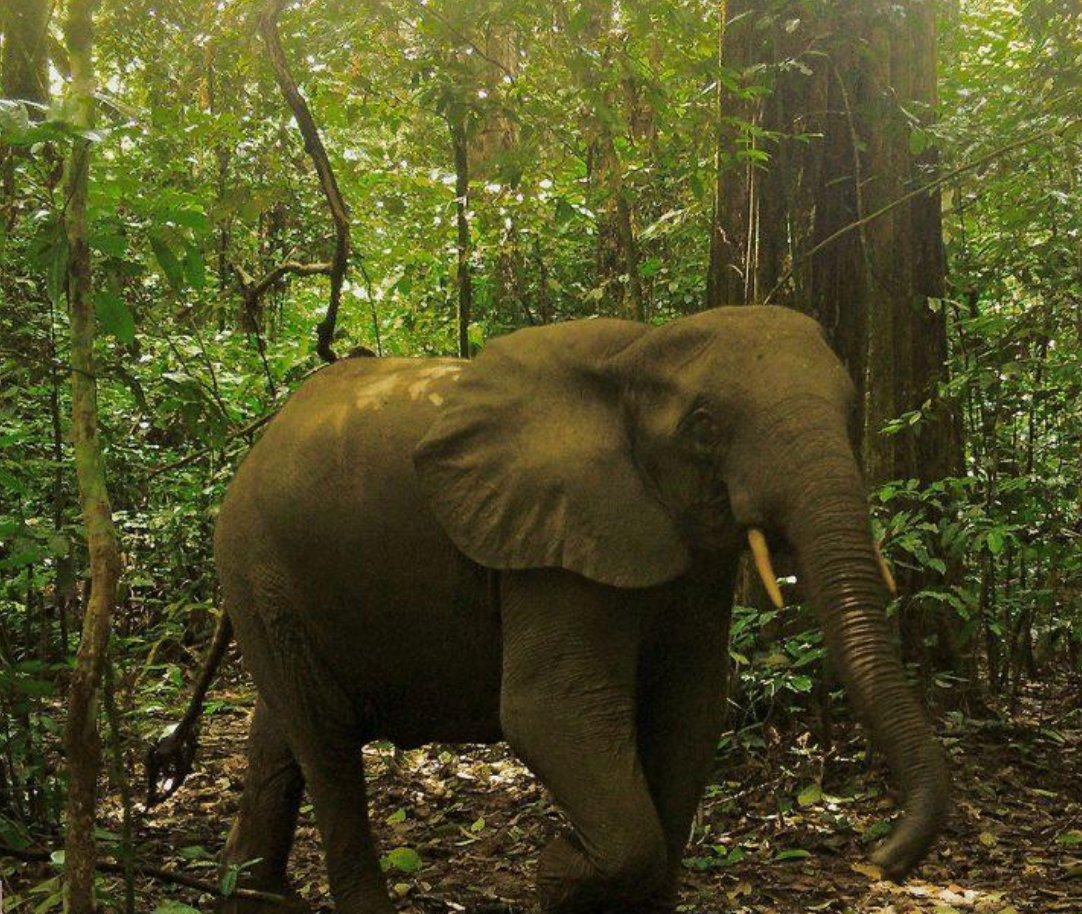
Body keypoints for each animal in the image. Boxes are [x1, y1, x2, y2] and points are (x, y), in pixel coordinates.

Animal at [214, 305, 950, 914]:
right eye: (704, 427)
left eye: (852, 409)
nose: (878, 860)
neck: (637, 354)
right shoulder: (552, 549)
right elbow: (550, 710)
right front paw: (560, 868)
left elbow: (691, 707)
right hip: (255, 564)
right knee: (326, 741)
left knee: (280, 729)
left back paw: (252, 899)